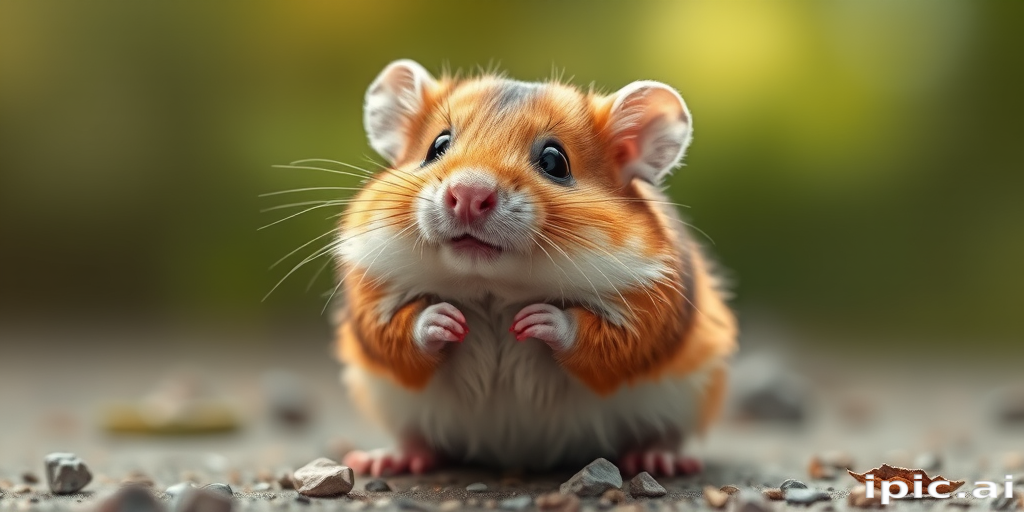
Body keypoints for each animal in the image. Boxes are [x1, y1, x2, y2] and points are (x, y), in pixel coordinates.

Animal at [332, 60, 737, 477]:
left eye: (555, 162)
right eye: (437, 146)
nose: (468, 195)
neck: (491, 288)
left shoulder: (649, 310)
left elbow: (609, 340)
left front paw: (535, 320)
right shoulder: (370, 294)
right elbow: (394, 333)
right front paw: (445, 319)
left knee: (663, 436)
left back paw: (658, 459)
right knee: (416, 439)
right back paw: (386, 460)